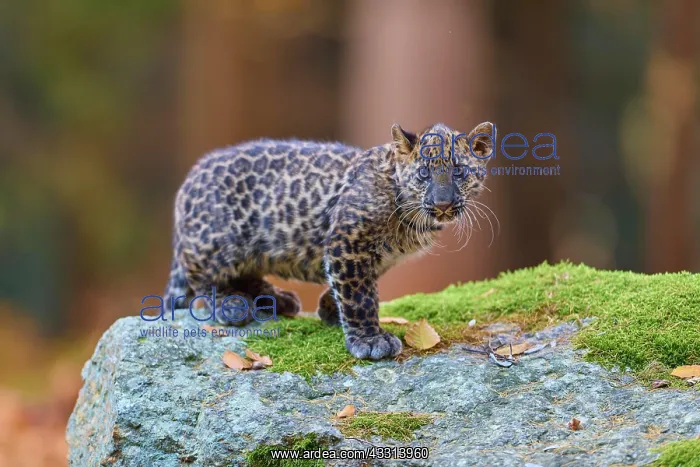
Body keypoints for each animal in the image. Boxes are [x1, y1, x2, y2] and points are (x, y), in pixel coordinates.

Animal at [163, 121, 495, 360]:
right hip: (218, 243)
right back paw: (232, 304)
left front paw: (330, 309)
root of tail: (186, 184)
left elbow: (362, 285)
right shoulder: (346, 242)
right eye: (424, 173)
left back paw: (274, 300)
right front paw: (370, 339)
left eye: (459, 172)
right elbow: (359, 295)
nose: (443, 203)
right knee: (200, 279)